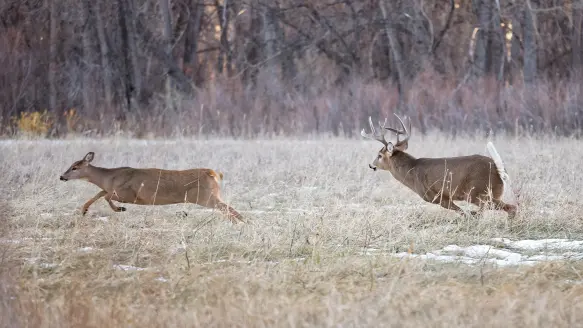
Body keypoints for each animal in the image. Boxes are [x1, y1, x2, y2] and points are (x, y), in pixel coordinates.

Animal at [61, 152, 246, 224]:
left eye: (75, 167)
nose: (62, 177)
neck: (108, 178)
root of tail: (213, 173)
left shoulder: (129, 193)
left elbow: (106, 196)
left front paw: (121, 209)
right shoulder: (110, 189)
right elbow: (99, 193)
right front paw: (84, 210)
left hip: (205, 197)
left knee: (230, 209)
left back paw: (242, 223)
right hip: (209, 196)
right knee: (228, 209)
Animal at [362, 114, 516, 219]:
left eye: (379, 155)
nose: (370, 165)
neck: (412, 172)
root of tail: (498, 169)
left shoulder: (436, 196)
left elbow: (462, 213)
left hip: (479, 192)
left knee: (511, 207)